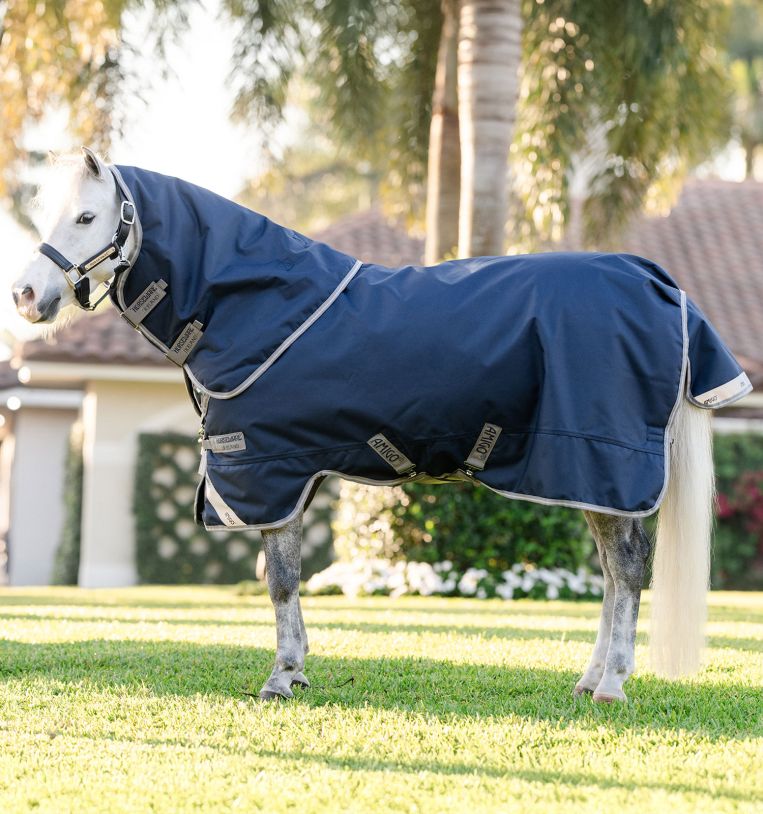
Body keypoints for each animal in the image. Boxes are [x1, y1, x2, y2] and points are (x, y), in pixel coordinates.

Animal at [12, 148, 750, 703]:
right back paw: (590, 678)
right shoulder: (287, 476)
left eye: (87, 216)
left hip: (602, 465)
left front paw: (281, 677)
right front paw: (296, 671)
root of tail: (662, 285)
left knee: (625, 572)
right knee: (610, 574)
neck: (254, 306)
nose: (25, 295)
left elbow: (279, 580)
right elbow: (282, 579)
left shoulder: (269, 473)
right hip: (589, 479)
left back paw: (611, 685)